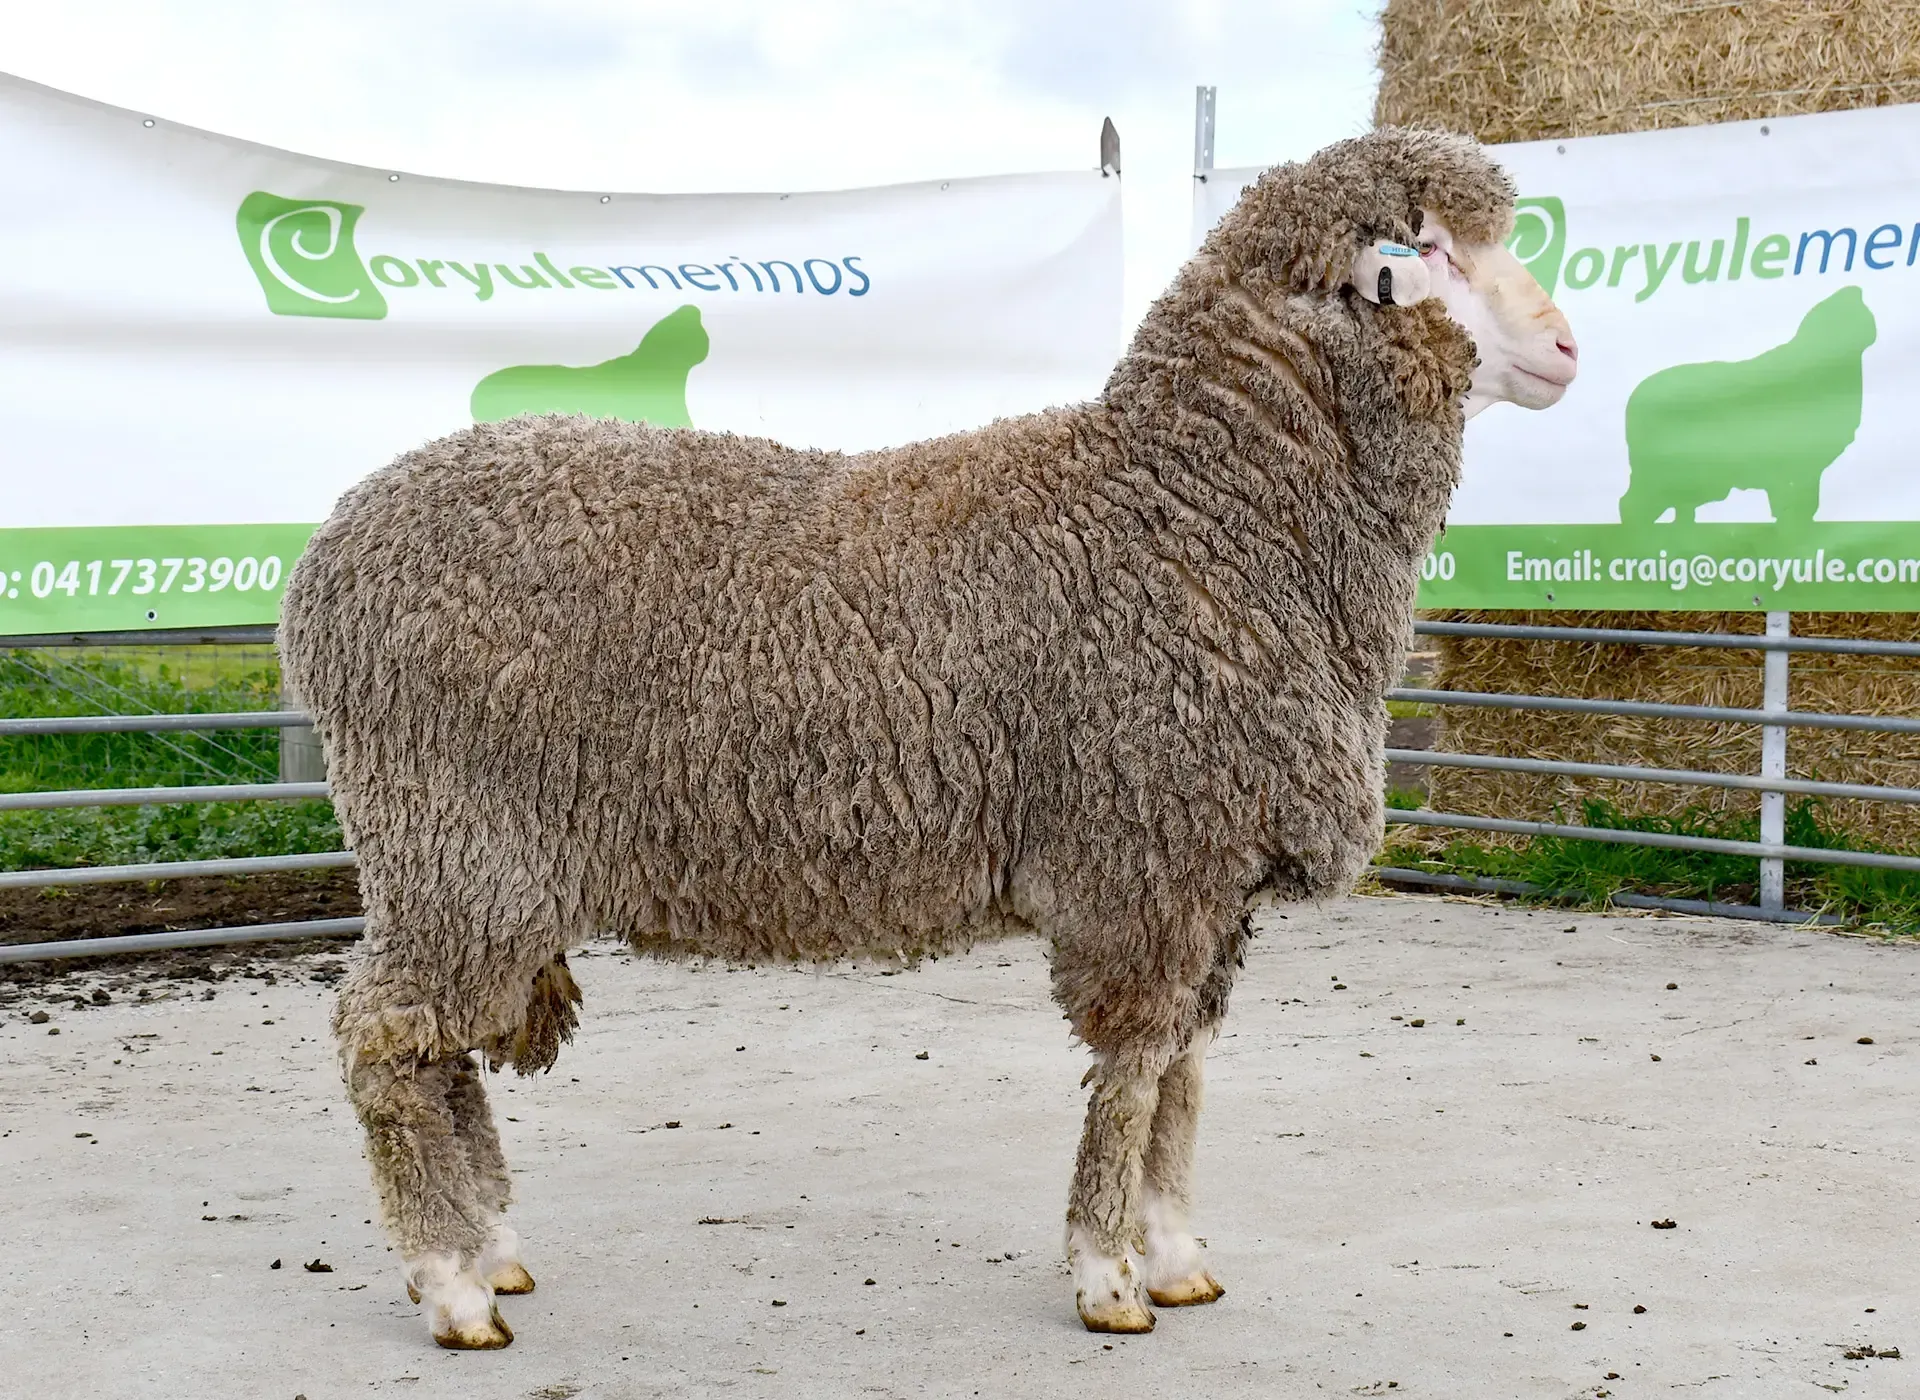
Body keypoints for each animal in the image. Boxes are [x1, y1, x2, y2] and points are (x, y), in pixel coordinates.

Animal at [277, 126, 1578, 1351]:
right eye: (1426, 253)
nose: (1567, 348)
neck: (1198, 506)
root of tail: (329, 552)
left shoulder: (1211, 874)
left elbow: (1185, 1079)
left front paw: (1174, 1254)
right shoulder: (1144, 857)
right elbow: (1134, 1075)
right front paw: (1108, 1279)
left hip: (469, 864)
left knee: (443, 1046)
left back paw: (491, 1245)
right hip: (455, 835)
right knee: (387, 1037)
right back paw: (449, 1286)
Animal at [1619, 284, 1875, 527]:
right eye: (1841, 316)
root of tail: (1634, 399)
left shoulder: (1808, 469)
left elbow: (1806, 507)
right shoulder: (1789, 466)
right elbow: (1790, 508)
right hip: (1659, 474)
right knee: (1631, 505)